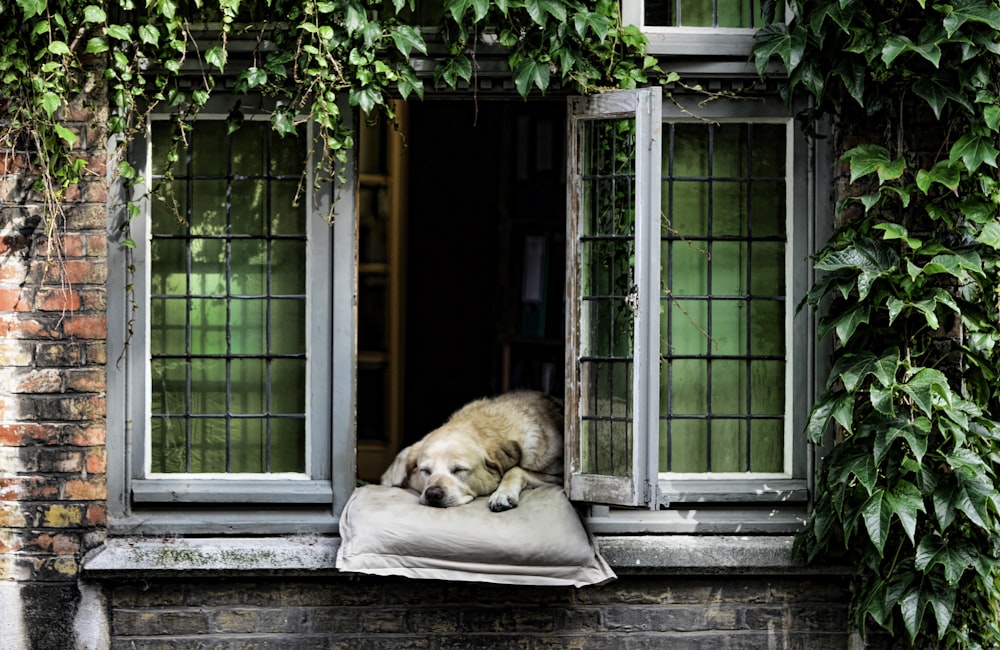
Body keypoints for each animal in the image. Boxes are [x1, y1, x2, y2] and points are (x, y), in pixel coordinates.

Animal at [378, 390, 564, 512]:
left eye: (459, 470)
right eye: (425, 471)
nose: (433, 494)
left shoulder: (558, 477)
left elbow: (515, 469)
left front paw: (502, 494)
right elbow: (406, 451)